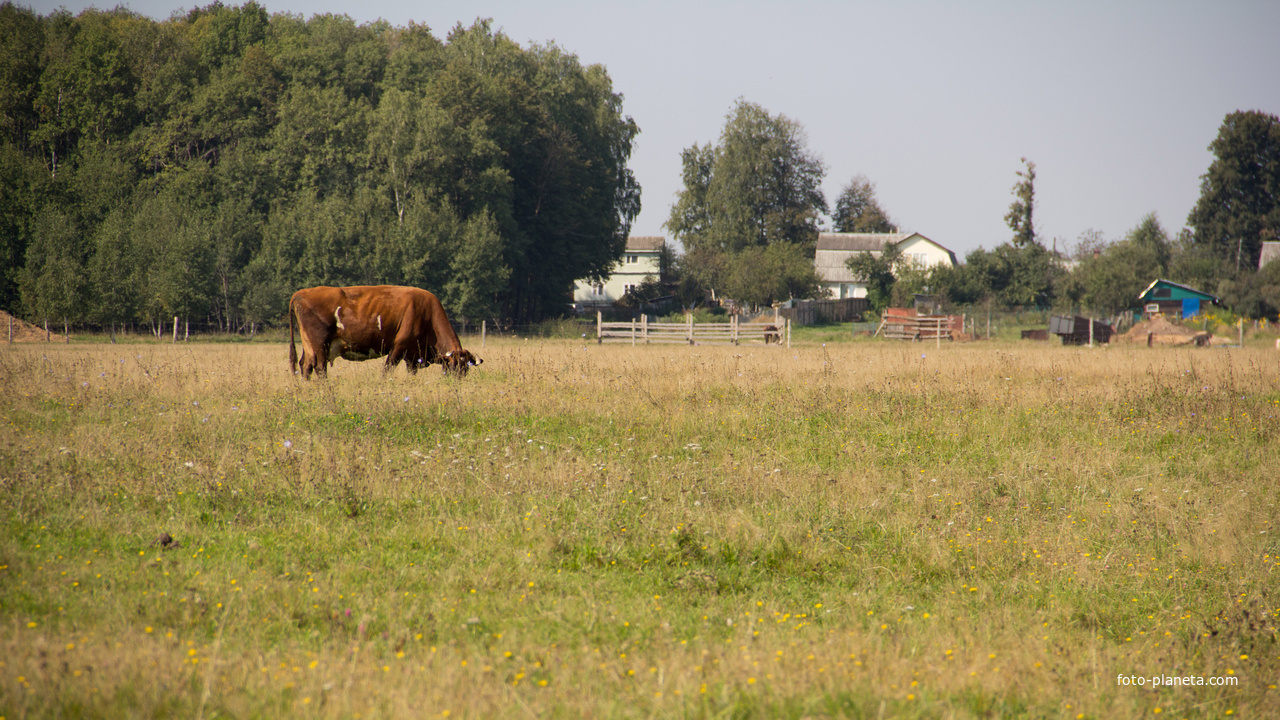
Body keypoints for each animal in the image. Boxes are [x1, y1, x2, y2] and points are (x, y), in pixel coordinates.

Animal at [288, 284, 481, 379]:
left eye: (465, 369)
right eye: (453, 367)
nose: (456, 383)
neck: (427, 313)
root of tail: (300, 293)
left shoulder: (413, 356)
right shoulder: (398, 347)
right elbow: (387, 370)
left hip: (309, 345)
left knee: (306, 365)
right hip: (320, 343)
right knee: (320, 368)